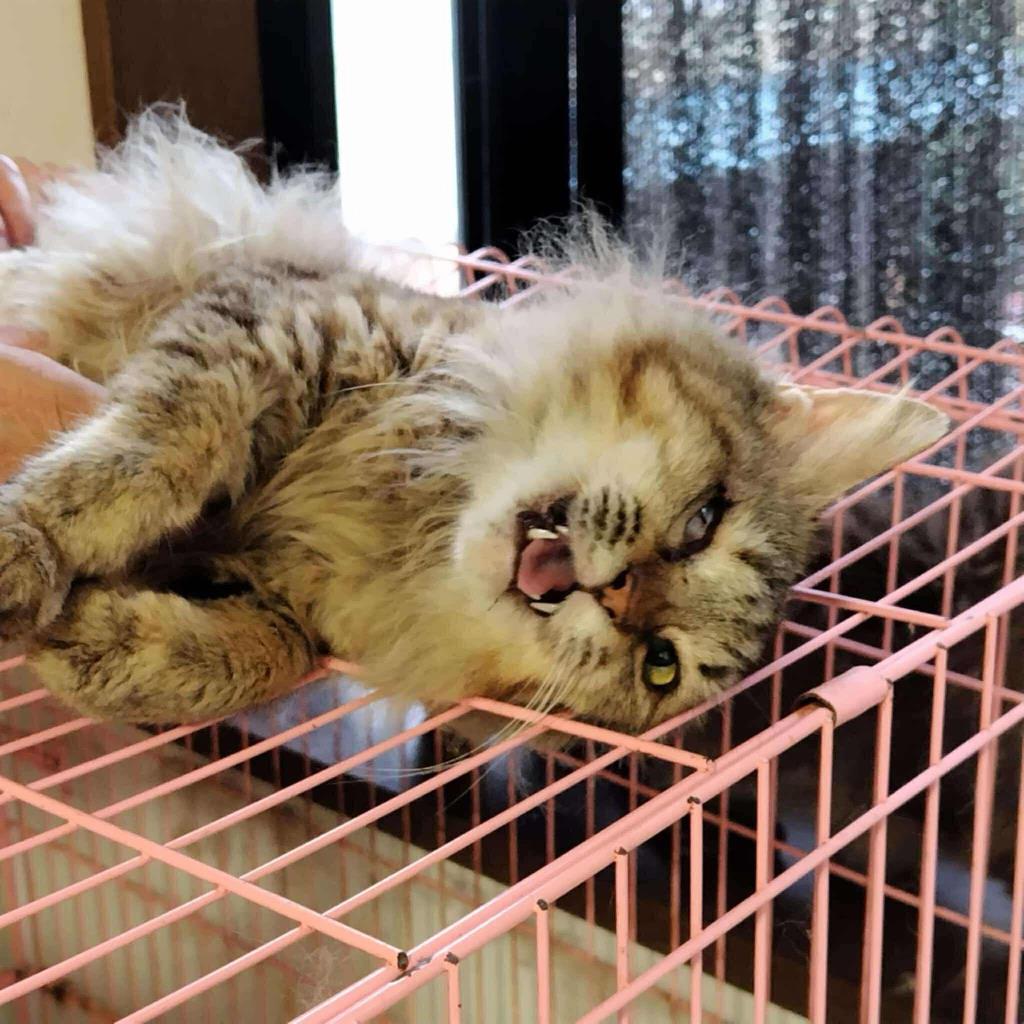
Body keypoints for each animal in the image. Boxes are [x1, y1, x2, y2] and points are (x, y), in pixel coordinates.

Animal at [0, 109, 948, 730]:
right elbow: (149, 455)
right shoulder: (266, 322)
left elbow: (258, 657)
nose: (617, 597)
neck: (400, 522)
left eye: (660, 663)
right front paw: (28, 553)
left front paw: (93, 641)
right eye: (703, 523)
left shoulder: (291, 604)